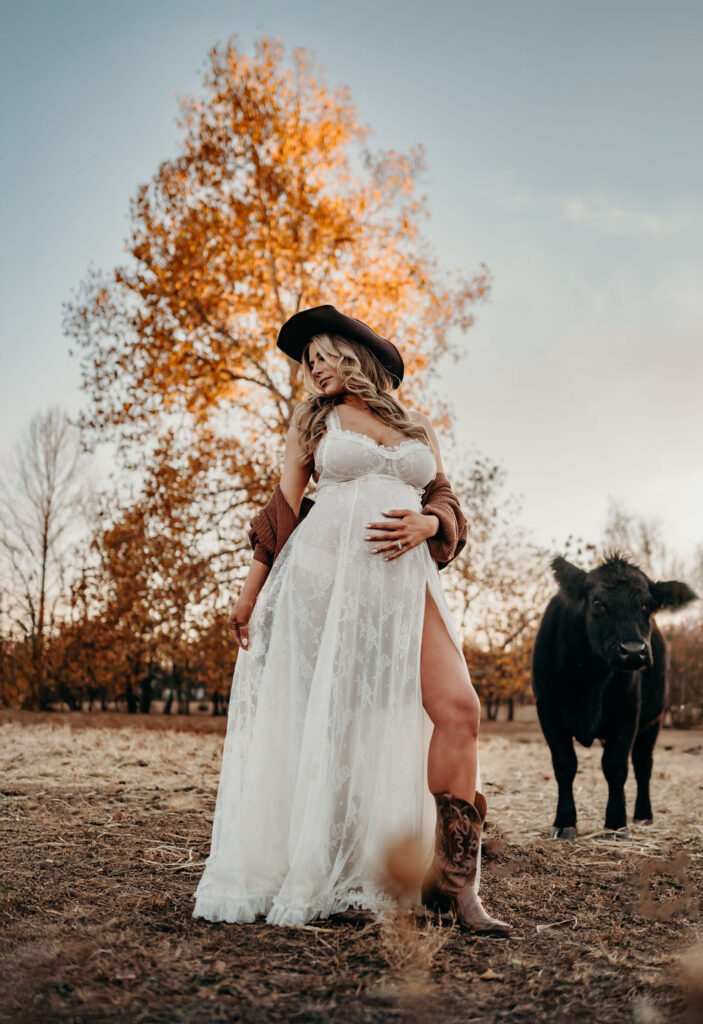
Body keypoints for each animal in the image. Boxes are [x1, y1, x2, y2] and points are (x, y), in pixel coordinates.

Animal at [532, 557, 699, 835]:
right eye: (597, 603)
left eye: (647, 604)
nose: (633, 651)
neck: (590, 677)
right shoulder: (548, 713)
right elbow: (565, 765)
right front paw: (565, 821)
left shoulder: (628, 714)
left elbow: (615, 766)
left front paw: (616, 822)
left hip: (654, 721)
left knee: (643, 765)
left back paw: (643, 814)